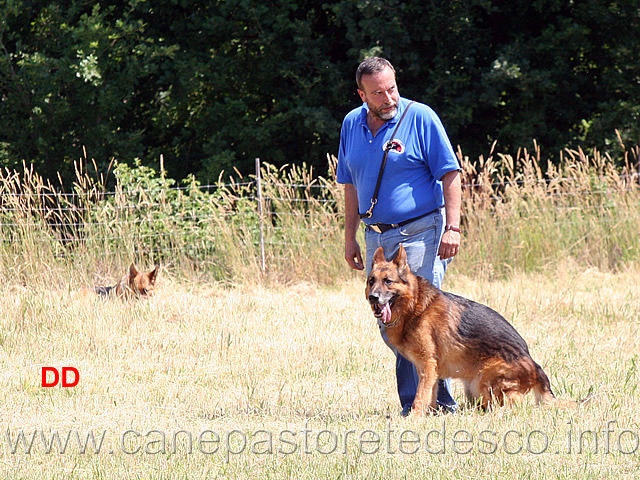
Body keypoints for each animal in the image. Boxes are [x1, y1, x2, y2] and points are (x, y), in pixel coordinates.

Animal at [364, 246, 576, 414]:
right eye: (371, 281)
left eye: (388, 281)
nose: (373, 298)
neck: (415, 306)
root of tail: (536, 367)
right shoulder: (429, 370)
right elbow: (429, 396)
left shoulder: (427, 366)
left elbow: (420, 397)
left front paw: (414, 417)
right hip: (475, 387)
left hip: (486, 377)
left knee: (515, 404)